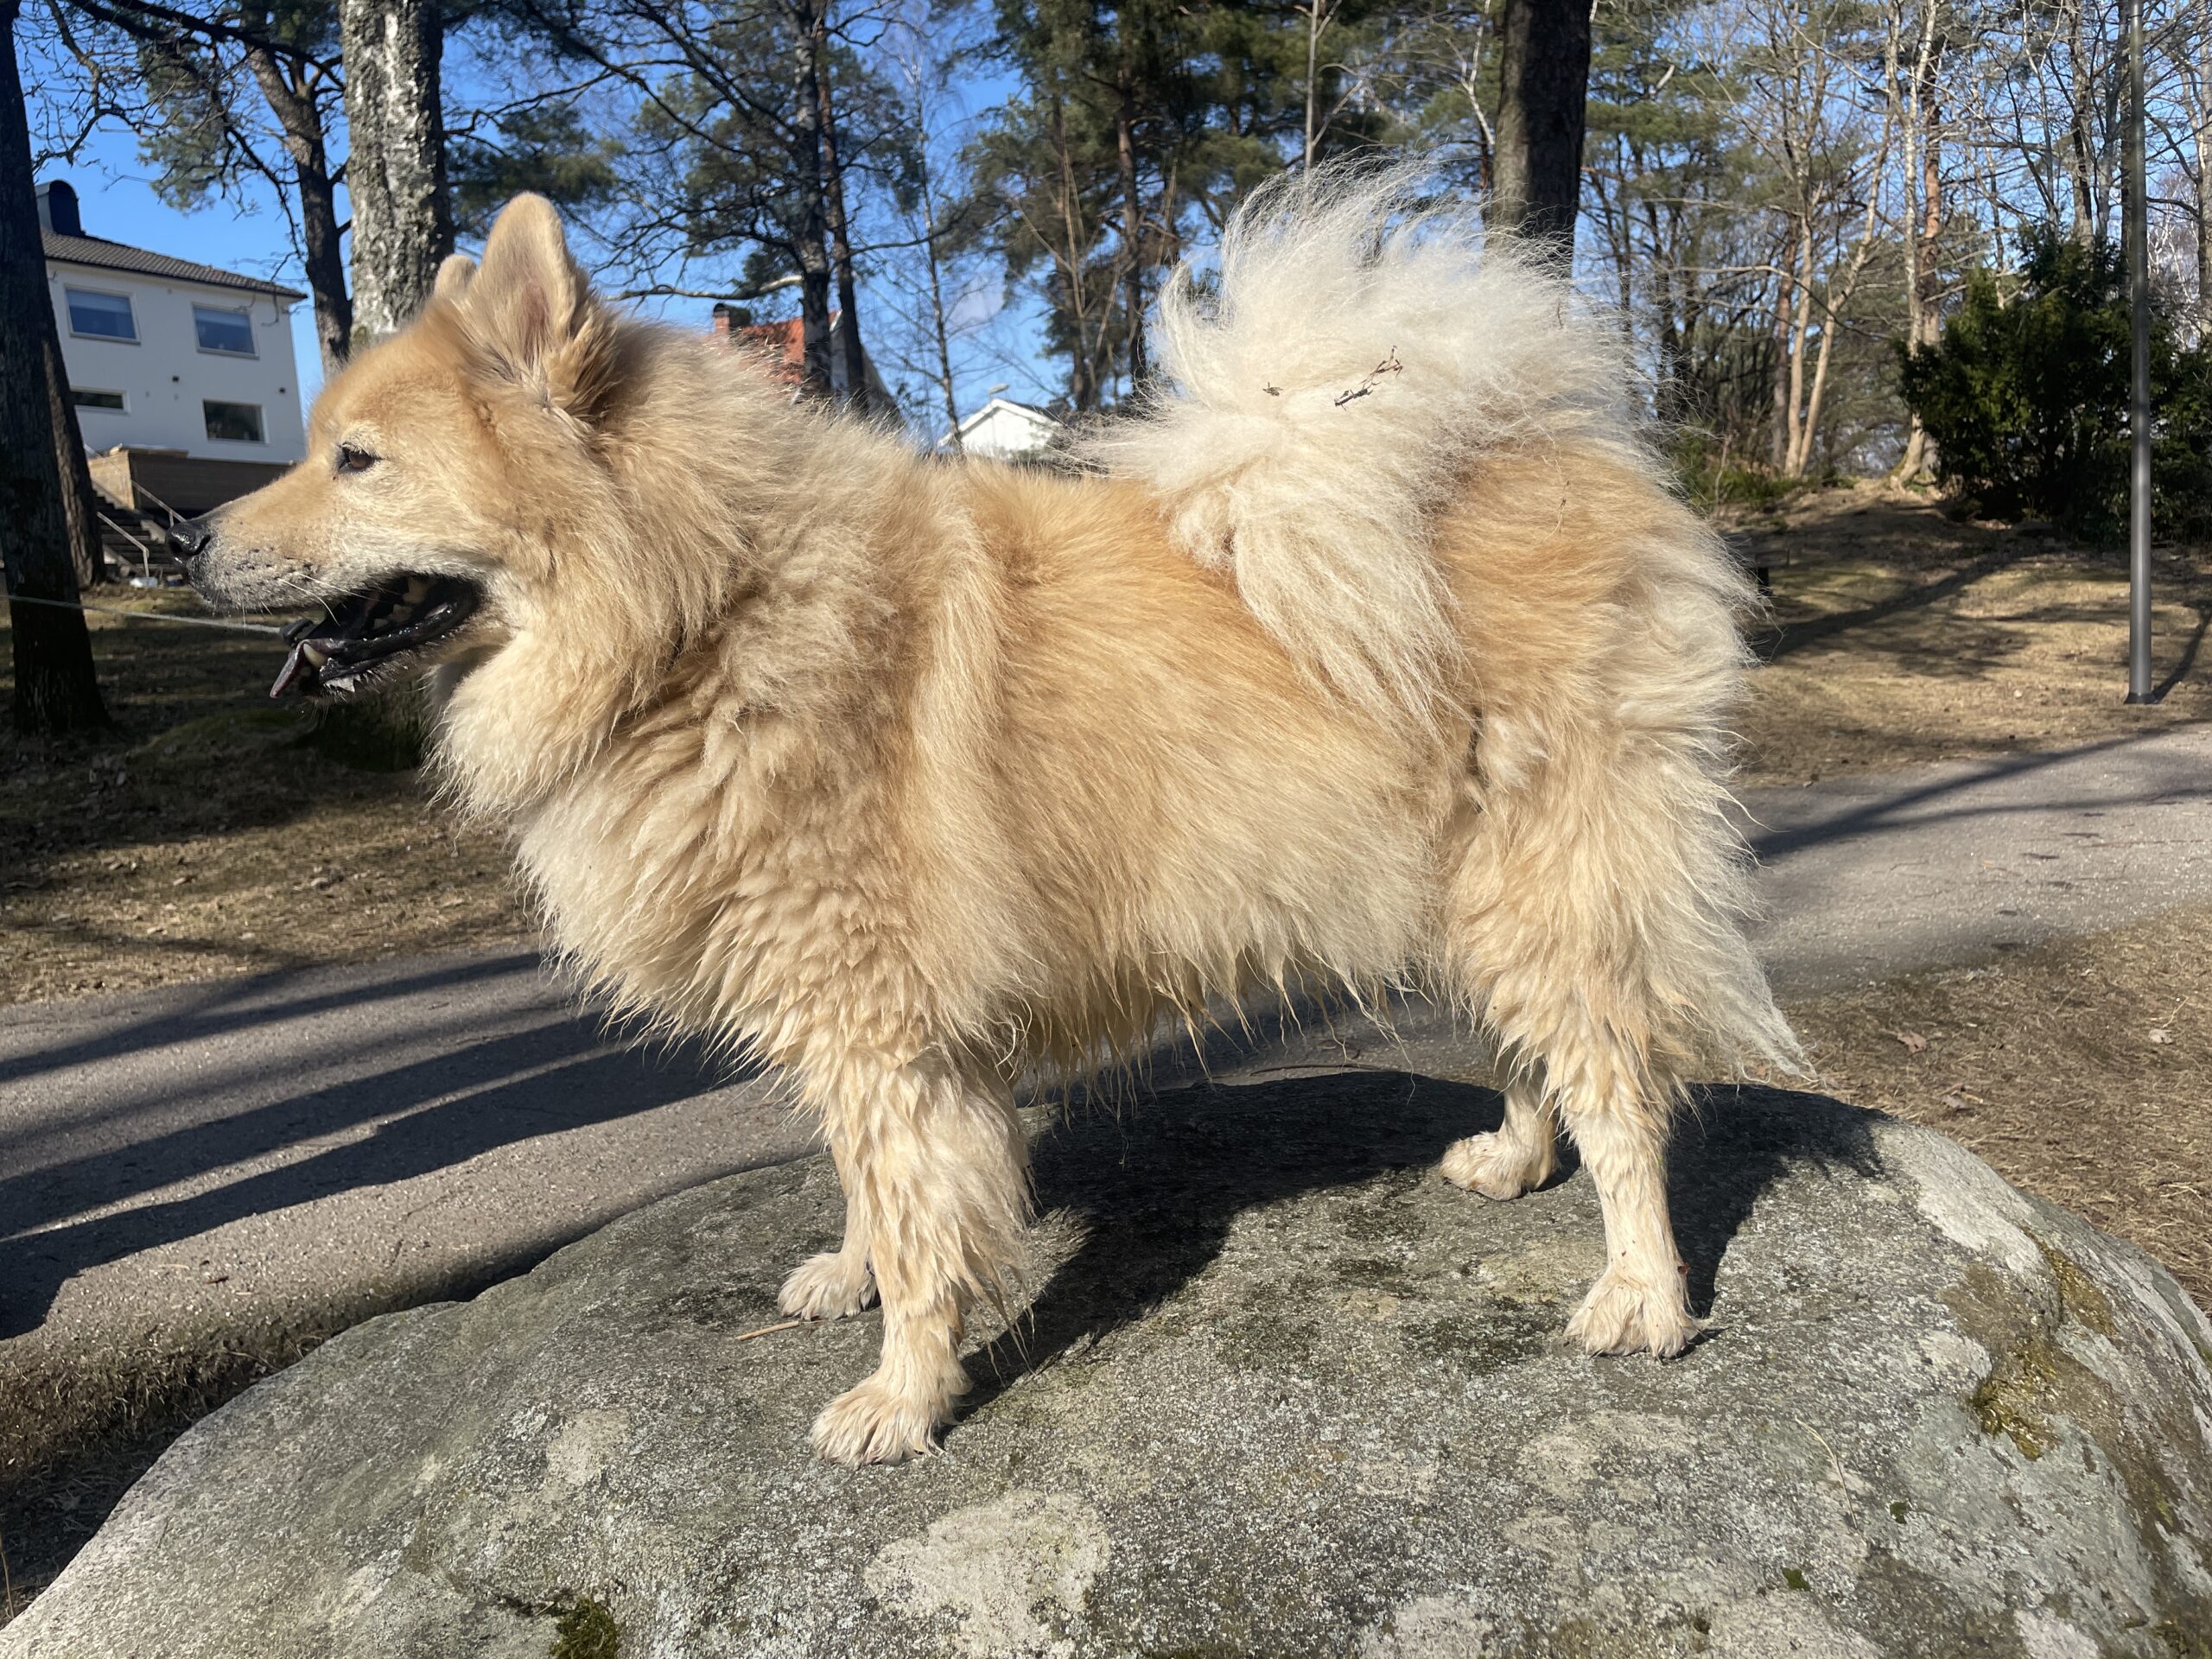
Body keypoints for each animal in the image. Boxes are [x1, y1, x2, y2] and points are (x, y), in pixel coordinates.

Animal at [182, 168, 1800, 1465]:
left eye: (357, 462)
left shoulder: (883, 1020)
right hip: (1448, 884)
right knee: (1542, 1047)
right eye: (319, 447)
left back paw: (1641, 1293)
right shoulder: (850, 1021)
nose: (186, 540)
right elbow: (866, 1187)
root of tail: (1538, 457)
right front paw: (847, 1280)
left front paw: (901, 1398)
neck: (705, 618)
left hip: (1541, 875)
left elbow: (921, 1228)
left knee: (1619, 1080)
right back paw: (1517, 1161)